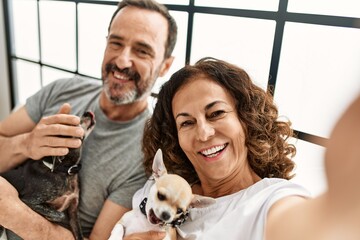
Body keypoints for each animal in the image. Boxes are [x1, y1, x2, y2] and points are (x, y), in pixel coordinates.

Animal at [0, 111, 95, 240]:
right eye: (73, 125)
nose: (87, 112)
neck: (64, 172)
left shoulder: (73, 210)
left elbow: (79, 234)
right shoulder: (29, 201)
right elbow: (59, 214)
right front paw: (50, 217)